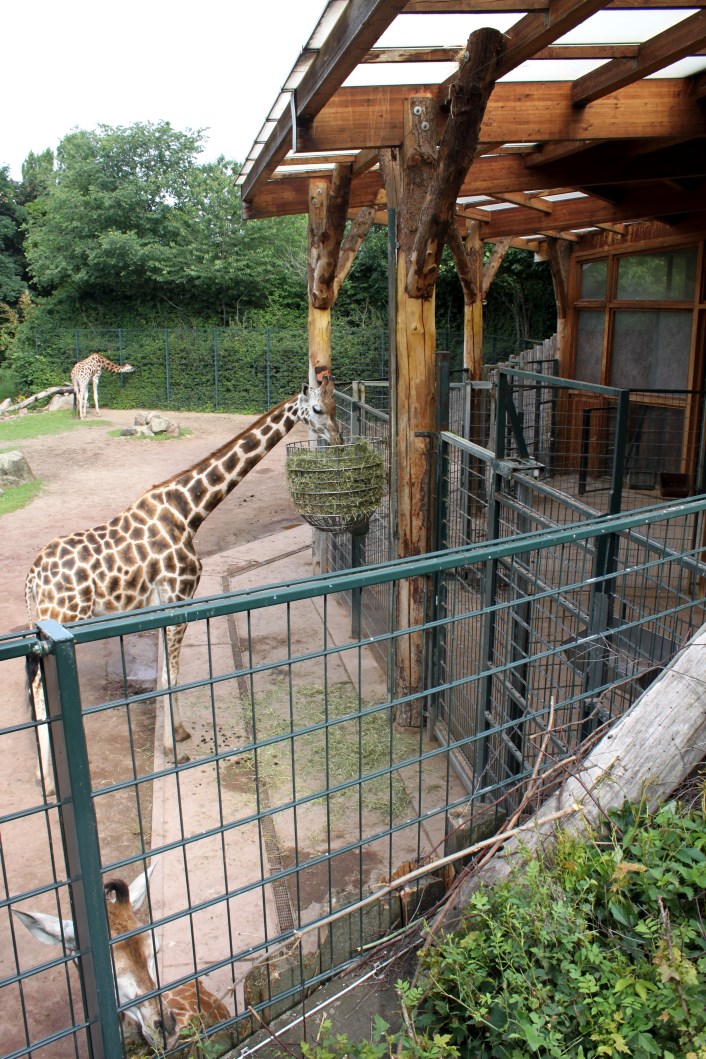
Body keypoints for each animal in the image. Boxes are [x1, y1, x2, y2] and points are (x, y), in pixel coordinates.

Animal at [25, 379, 341, 795]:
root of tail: (32, 579)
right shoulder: (178, 597)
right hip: (63, 616)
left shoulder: (163, 605)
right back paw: (46, 781)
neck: (190, 510)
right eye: (318, 410)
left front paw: (178, 732)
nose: (337, 438)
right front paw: (173, 751)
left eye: (335, 406)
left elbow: (166, 673)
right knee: (38, 691)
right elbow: (170, 674)